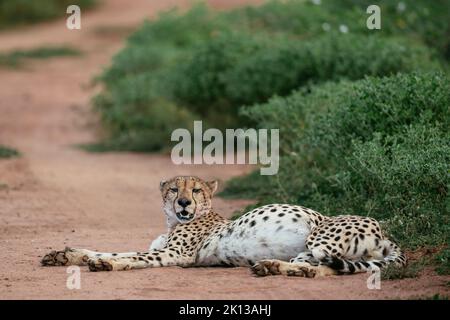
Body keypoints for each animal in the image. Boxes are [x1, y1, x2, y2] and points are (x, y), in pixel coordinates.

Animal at [42, 176, 406, 276]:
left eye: (196, 190)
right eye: (174, 189)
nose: (183, 203)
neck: (172, 222)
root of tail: (385, 232)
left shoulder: (176, 256)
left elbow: (130, 257)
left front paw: (105, 263)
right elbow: (105, 248)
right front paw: (65, 255)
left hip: (318, 237)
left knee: (327, 266)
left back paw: (277, 268)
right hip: (313, 250)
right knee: (320, 267)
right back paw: (272, 266)